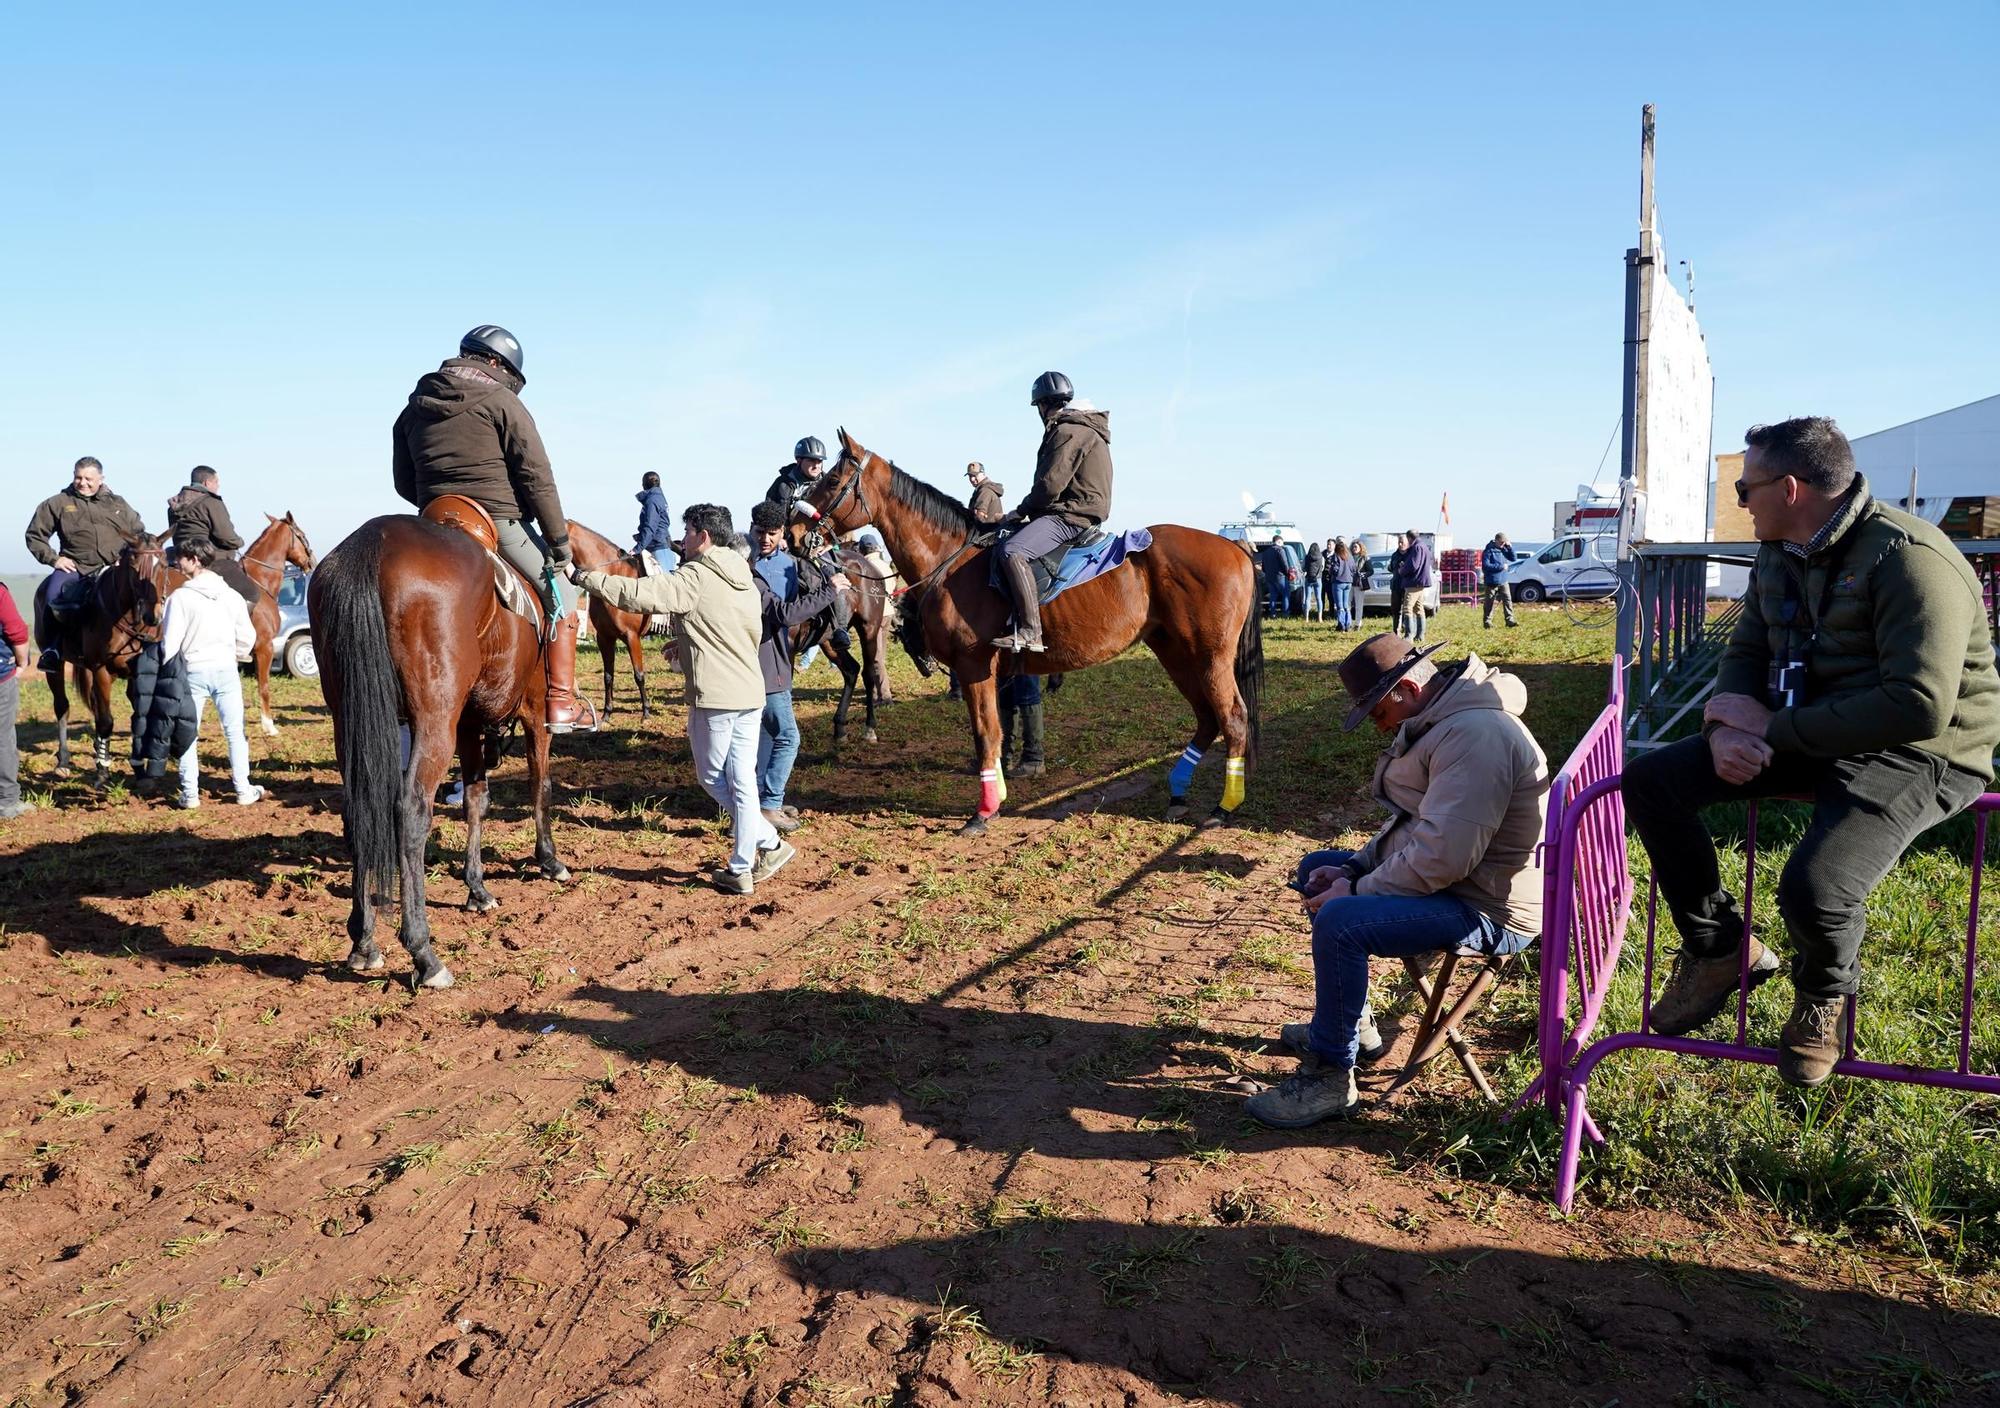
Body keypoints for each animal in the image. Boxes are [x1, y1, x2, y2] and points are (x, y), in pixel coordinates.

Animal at [308, 508, 568, 992]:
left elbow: (476, 800)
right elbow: (539, 785)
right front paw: (549, 860)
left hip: (349, 719)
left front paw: (477, 889)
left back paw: (363, 940)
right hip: (433, 722)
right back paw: (424, 953)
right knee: (411, 811)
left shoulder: (468, 724)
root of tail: (372, 541)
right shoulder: (534, 711)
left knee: (358, 812)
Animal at [800, 424, 1256, 832]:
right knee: (1208, 718)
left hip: (1209, 657)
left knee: (1233, 718)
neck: (952, 560)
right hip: (1175, 653)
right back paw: (1178, 792)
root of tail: (1234, 547)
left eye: (833, 480)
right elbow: (997, 730)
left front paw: (983, 812)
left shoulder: (974, 667)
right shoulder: (993, 673)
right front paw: (996, 797)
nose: (794, 527)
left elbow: (986, 733)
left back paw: (1224, 808)